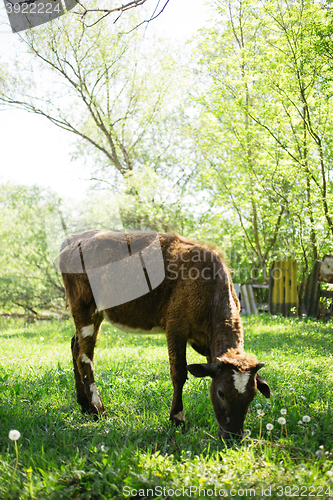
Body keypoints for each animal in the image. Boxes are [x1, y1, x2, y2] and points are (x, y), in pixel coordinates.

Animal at [59, 232, 268, 440]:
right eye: (221, 393)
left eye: (252, 395)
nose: (233, 435)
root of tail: (76, 238)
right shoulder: (175, 326)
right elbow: (179, 373)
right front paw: (177, 418)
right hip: (85, 307)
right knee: (84, 358)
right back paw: (98, 410)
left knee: (75, 346)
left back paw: (84, 405)